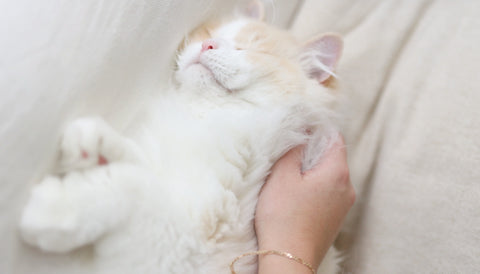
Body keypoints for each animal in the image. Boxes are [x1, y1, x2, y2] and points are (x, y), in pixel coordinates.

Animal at [17, 2, 342, 274]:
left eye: (246, 48)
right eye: (211, 34)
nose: (208, 44)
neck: (207, 116)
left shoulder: (184, 246)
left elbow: (133, 186)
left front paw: (56, 207)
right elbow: (137, 161)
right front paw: (90, 143)